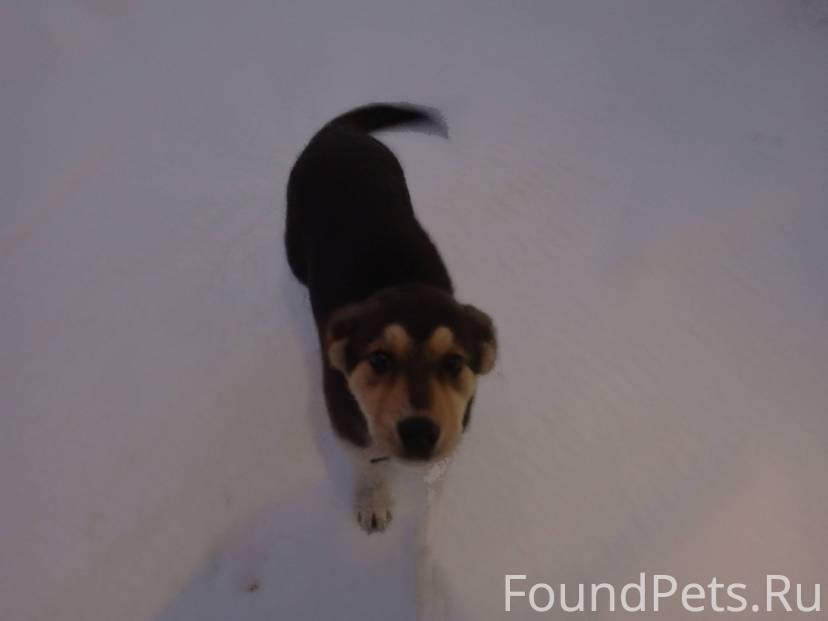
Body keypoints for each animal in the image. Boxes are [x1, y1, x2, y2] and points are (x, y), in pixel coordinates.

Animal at [285, 103, 497, 533]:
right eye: (379, 359)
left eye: (454, 363)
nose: (419, 433)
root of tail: (339, 130)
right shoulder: (348, 429)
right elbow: (369, 468)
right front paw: (374, 502)